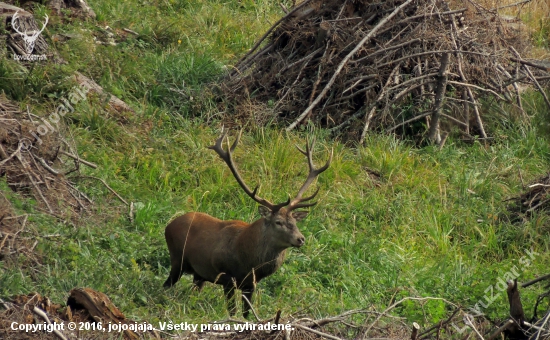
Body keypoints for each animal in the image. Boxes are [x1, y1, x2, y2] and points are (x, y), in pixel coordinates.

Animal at [162, 129, 334, 318]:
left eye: (295, 221)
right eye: (278, 222)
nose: (300, 239)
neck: (247, 261)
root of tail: (169, 225)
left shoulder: (251, 284)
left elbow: (246, 314)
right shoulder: (226, 277)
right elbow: (232, 312)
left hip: (199, 274)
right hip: (177, 259)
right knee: (166, 285)